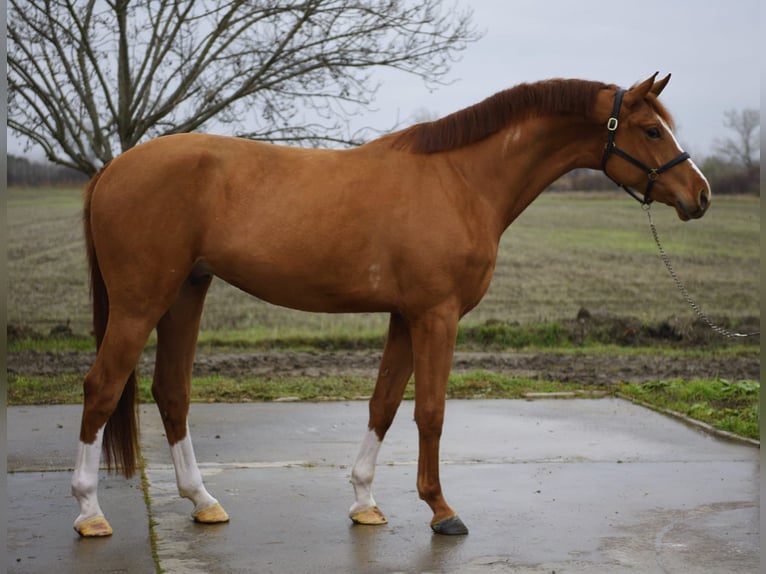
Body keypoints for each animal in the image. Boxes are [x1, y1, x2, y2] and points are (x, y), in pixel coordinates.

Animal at [71, 73, 710, 537]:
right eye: (652, 130)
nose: (700, 196)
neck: (460, 179)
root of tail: (113, 169)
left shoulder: (406, 316)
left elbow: (383, 404)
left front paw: (364, 501)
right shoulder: (436, 316)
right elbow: (430, 411)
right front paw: (441, 510)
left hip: (187, 292)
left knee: (171, 392)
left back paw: (202, 501)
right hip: (140, 303)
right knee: (102, 387)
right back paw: (89, 513)